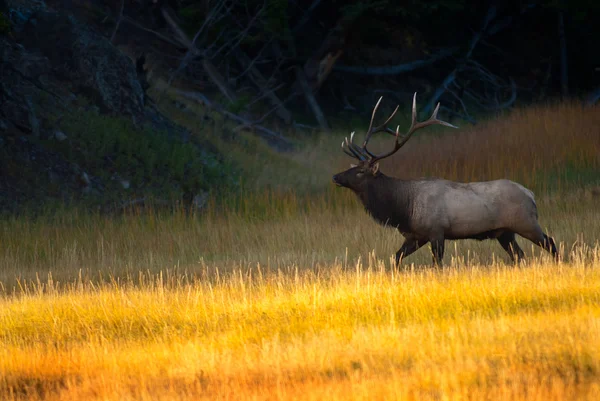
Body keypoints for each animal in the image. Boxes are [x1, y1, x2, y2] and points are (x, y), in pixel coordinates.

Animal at [332, 92, 556, 264]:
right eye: (353, 167)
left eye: (361, 172)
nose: (335, 176)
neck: (404, 209)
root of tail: (530, 194)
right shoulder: (416, 236)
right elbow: (395, 258)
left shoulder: (437, 232)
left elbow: (437, 264)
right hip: (504, 232)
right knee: (519, 255)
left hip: (526, 222)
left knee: (551, 243)